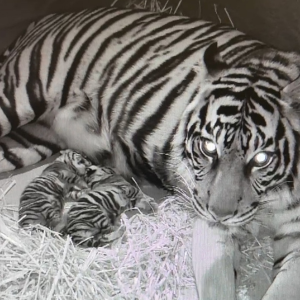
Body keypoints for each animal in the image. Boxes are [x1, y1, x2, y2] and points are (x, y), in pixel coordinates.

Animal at [0, 5, 300, 298]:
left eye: (261, 158)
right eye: (208, 146)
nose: (219, 214)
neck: (272, 194)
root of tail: (50, 17)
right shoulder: (209, 228)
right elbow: (218, 285)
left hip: (30, 141)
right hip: (18, 98)